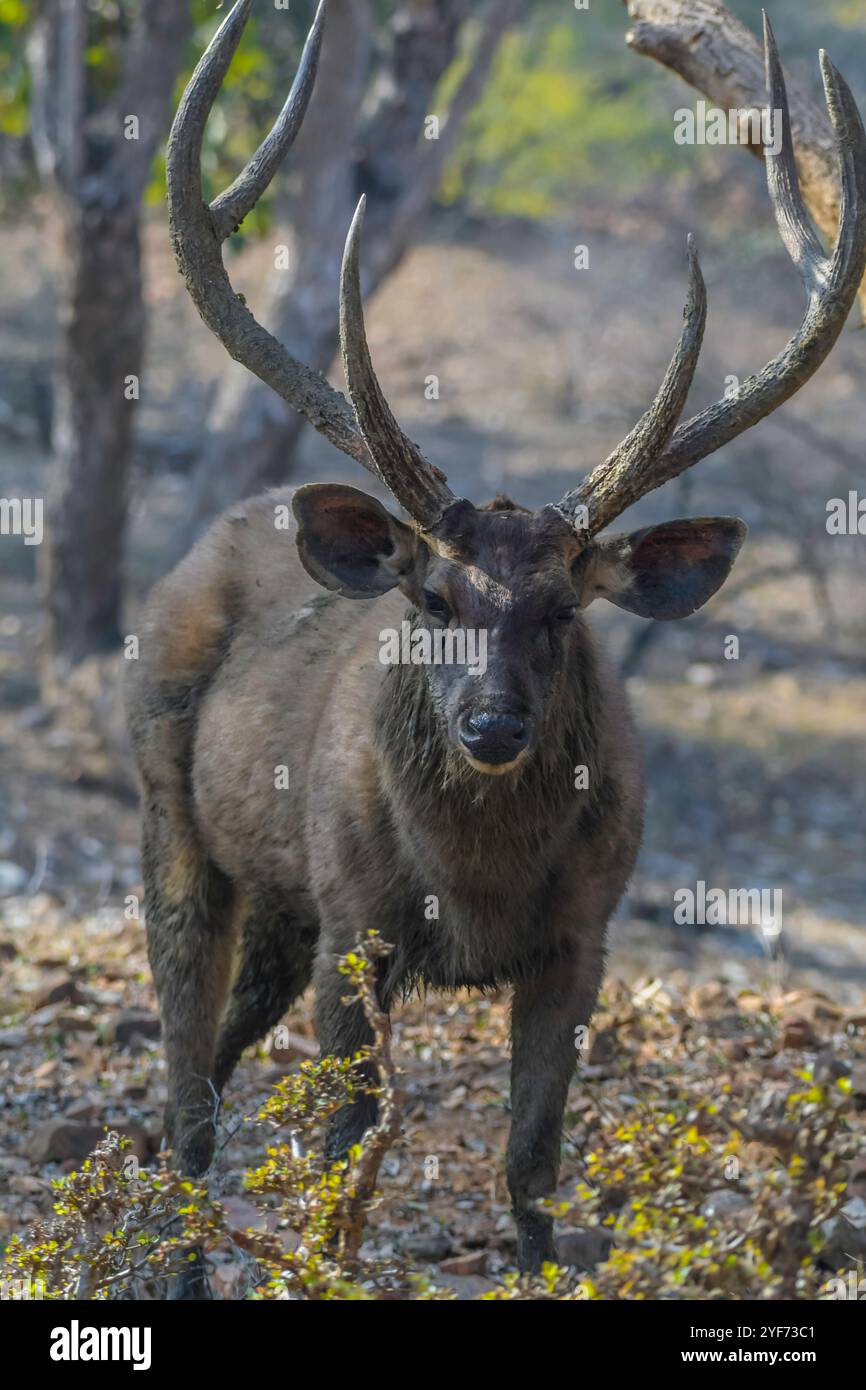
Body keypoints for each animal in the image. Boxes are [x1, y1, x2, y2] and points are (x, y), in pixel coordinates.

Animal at [126, 0, 866, 1296]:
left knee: (211, 1066)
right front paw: (324, 1264)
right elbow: (345, 1144)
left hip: (282, 906)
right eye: (430, 595)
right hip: (175, 816)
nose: (492, 723)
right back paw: (167, 1264)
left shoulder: (584, 935)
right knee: (183, 1079)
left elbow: (530, 1161)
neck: (471, 881)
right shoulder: (358, 923)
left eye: (565, 608)